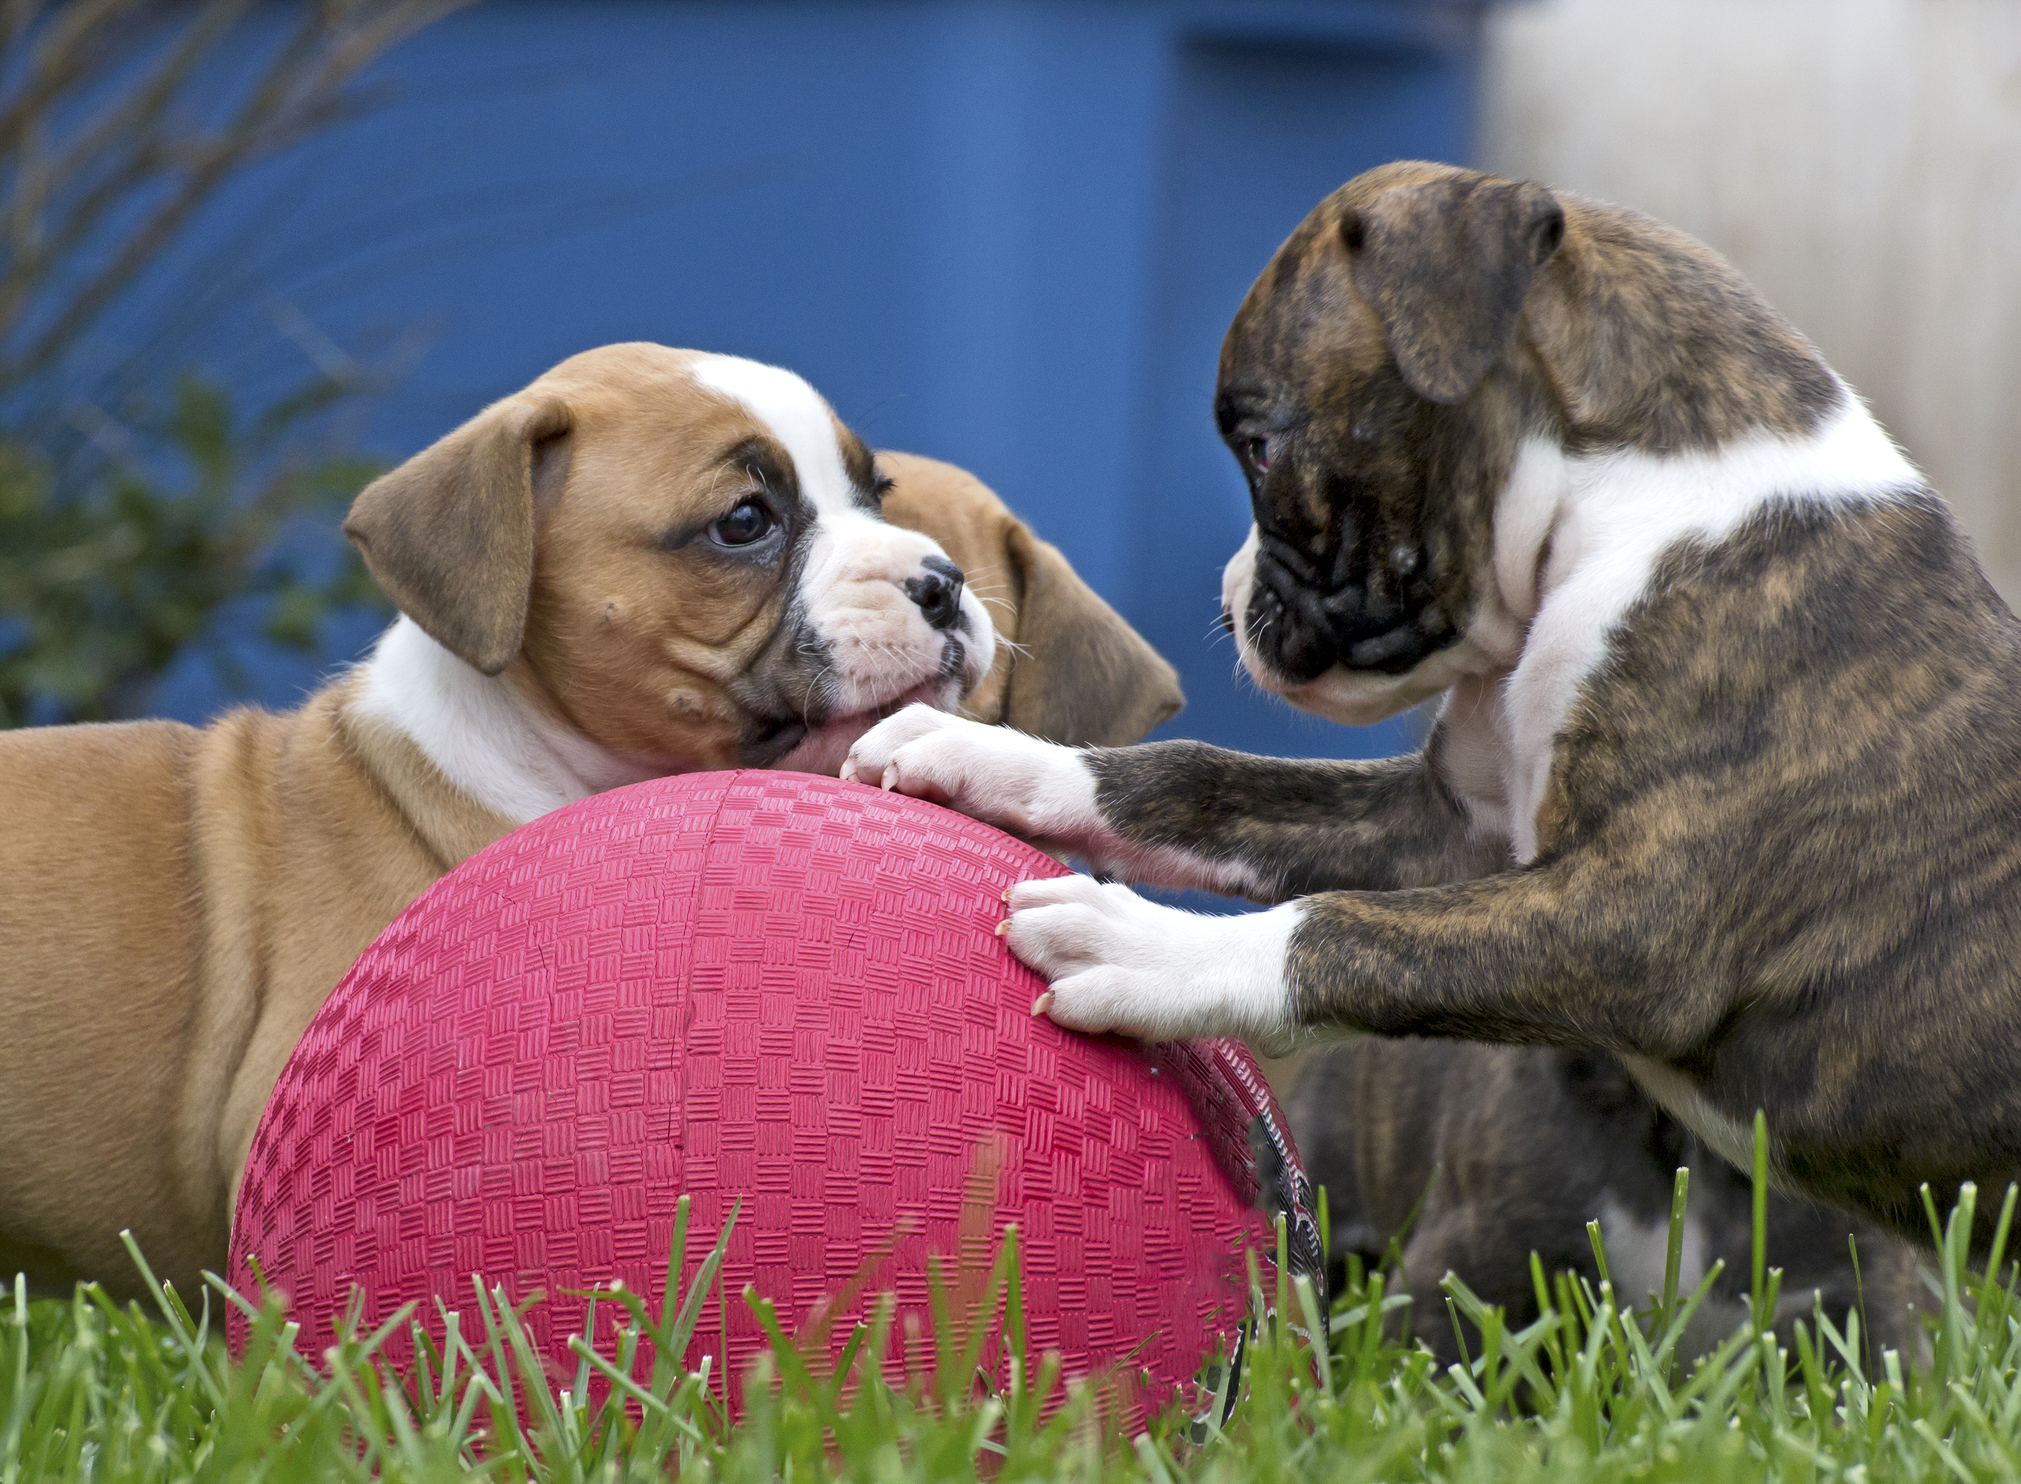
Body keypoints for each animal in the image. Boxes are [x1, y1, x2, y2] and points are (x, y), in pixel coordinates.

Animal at [844, 156, 2020, 1253]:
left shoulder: (1635, 920)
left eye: (1261, 445)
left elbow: (1335, 928)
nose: (1226, 605)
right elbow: (1192, 781)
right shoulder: (1449, 831)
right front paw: (987, 752)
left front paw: (1143, 951)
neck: (1623, 515)